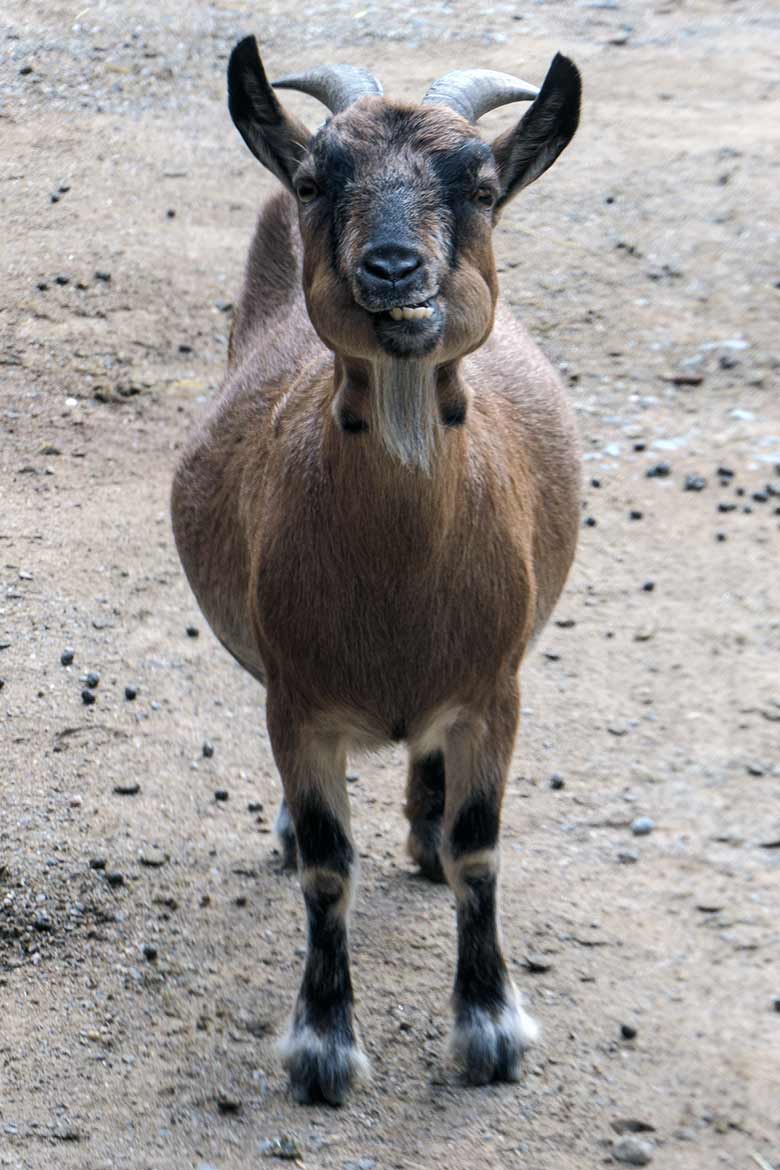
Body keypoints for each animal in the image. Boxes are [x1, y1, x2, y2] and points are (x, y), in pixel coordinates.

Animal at [171, 41, 584, 1104]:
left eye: (482, 186)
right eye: (319, 181)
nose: (393, 271)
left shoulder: (495, 690)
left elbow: (482, 850)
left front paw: (490, 1031)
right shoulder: (298, 700)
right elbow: (329, 866)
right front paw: (322, 1047)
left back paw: (425, 835)